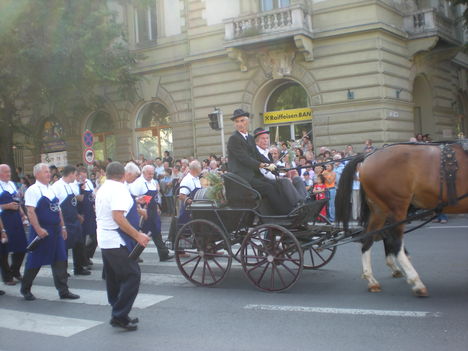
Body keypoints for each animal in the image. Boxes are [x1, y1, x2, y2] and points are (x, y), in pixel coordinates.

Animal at [336, 143, 468, 296]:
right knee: (395, 242)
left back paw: (372, 280)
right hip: (397, 207)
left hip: (380, 210)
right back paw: (415, 281)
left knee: (368, 241)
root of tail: (367, 156)